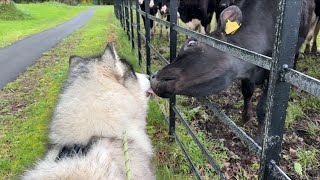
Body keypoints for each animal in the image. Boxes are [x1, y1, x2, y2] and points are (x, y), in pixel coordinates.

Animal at [151, 0, 316, 141]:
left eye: (192, 43)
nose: (153, 76)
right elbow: (247, 92)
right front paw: (245, 117)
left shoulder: (273, 75)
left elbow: (263, 108)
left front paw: (259, 137)